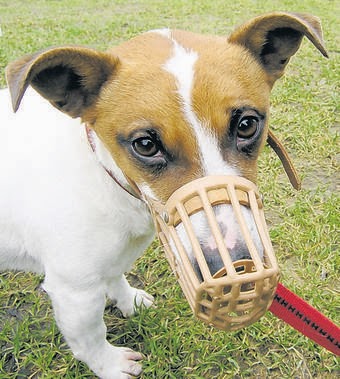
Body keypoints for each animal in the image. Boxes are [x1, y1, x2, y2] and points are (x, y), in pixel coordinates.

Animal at [1, 11, 328, 379]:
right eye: (145, 144)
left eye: (247, 125)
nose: (236, 267)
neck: (104, 174)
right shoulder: (74, 290)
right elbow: (91, 338)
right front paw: (110, 365)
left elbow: (115, 275)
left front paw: (127, 299)